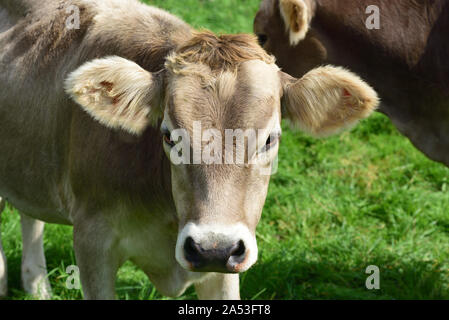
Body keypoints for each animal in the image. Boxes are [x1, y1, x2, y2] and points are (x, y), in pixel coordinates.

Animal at [0, 0, 378, 300]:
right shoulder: (93, 242)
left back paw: (36, 285)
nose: (214, 248)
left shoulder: (222, 272)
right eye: (169, 136)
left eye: (270, 139)